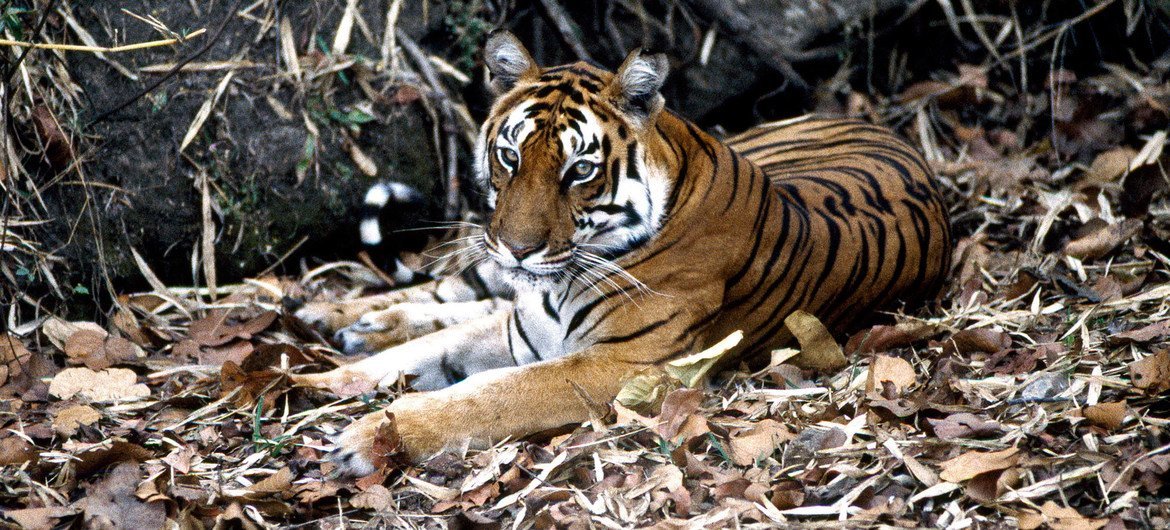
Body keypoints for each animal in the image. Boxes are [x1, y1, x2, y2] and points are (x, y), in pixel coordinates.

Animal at [290, 29, 950, 475]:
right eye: (509, 156)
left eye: (579, 170)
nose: (518, 248)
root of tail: (877, 125)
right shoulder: (523, 328)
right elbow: (428, 349)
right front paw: (324, 381)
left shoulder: (620, 366)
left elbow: (486, 395)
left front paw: (367, 438)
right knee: (452, 288)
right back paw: (339, 318)